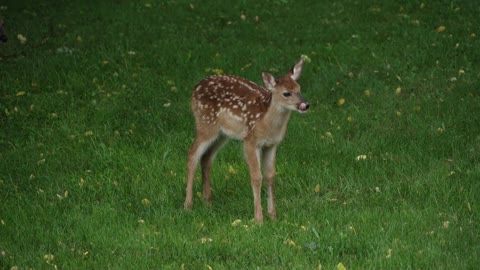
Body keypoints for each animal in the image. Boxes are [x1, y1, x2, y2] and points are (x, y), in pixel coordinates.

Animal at [186, 58, 310, 223]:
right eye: (286, 93)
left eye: (299, 89)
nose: (305, 105)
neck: (267, 123)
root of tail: (195, 88)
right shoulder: (250, 141)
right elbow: (256, 177)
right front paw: (259, 218)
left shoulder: (272, 144)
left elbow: (270, 176)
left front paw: (273, 216)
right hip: (205, 124)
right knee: (192, 154)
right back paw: (188, 205)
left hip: (222, 134)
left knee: (206, 157)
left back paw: (207, 202)